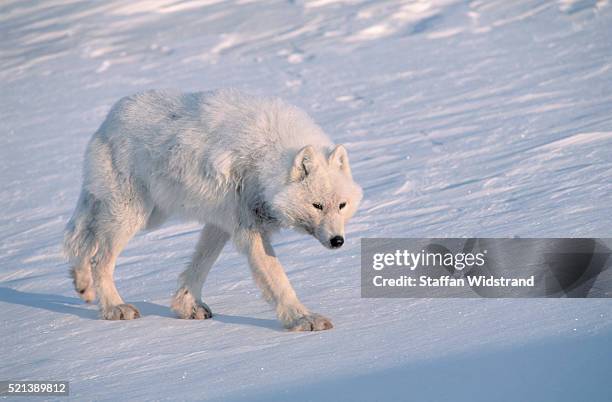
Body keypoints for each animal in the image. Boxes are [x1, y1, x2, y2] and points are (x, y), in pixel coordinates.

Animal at [65, 89, 364, 332]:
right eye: (317, 205)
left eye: (341, 205)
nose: (338, 241)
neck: (266, 158)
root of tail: (109, 119)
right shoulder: (249, 228)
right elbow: (277, 279)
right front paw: (302, 319)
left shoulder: (223, 223)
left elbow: (199, 265)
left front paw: (187, 306)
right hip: (133, 216)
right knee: (98, 258)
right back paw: (114, 307)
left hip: (147, 215)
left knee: (79, 239)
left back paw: (83, 286)